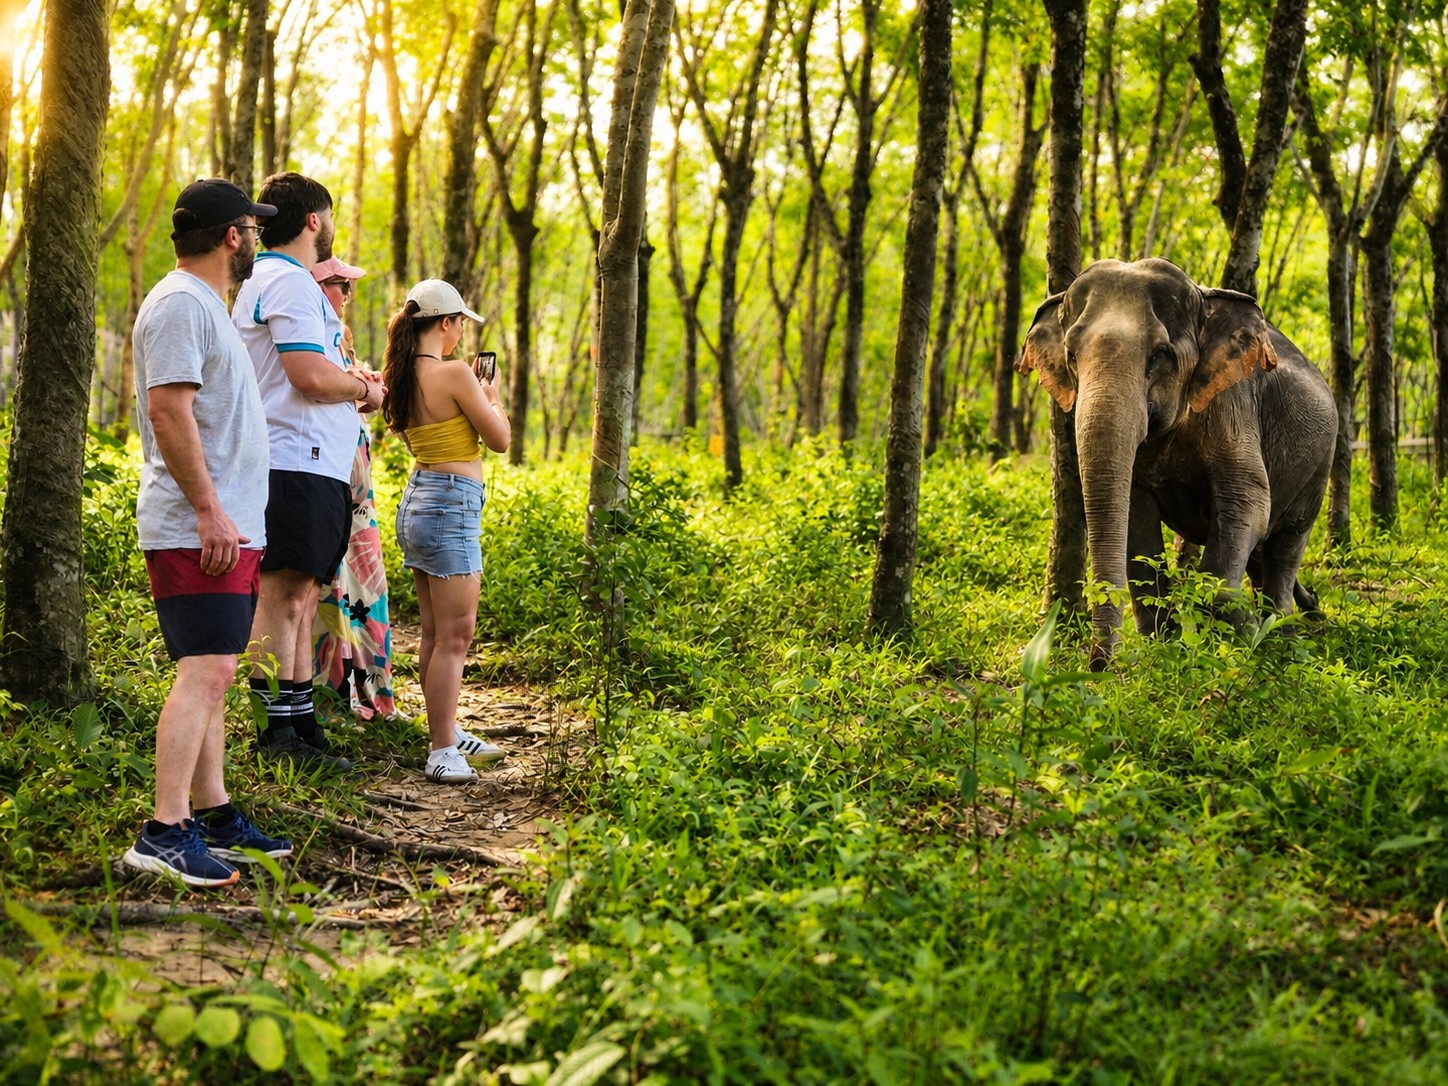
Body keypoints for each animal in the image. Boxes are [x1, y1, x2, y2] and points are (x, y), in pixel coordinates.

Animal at [1016, 258, 1337, 669]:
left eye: (1159, 355)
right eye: (1071, 355)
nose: (1100, 667)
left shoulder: (1232, 405)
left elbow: (1248, 501)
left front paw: (1233, 636)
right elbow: (1136, 521)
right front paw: (1165, 650)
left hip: (1319, 467)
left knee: (1286, 546)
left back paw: (1281, 636)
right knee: (1259, 557)